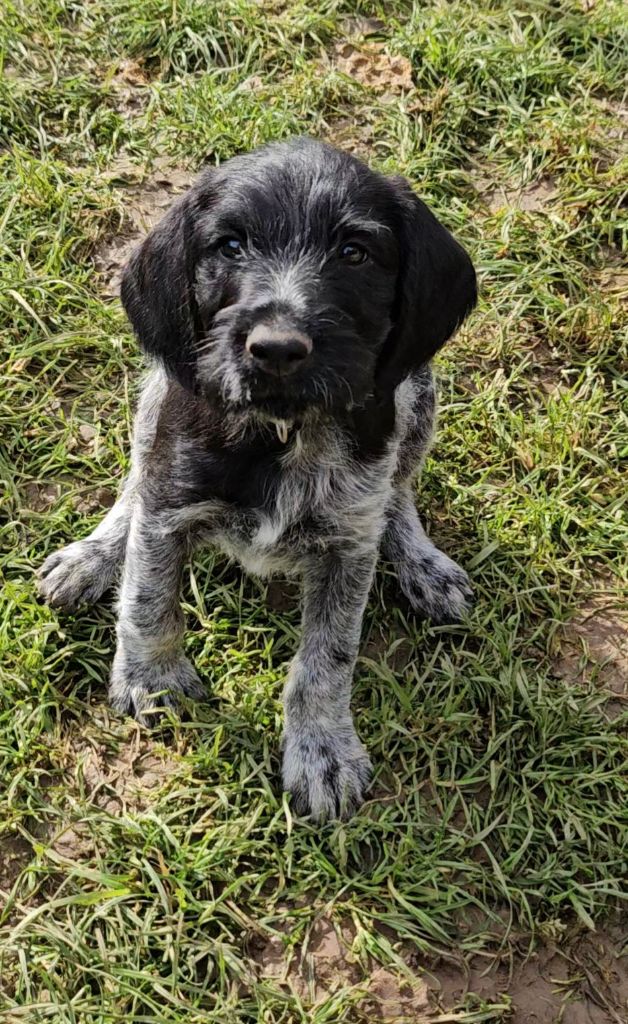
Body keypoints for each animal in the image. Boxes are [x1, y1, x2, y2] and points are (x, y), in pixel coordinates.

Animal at [38, 138, 477, 820]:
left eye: (354, 252)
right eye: (230, 246)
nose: (277, 348)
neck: (282, 431)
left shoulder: (348, 545)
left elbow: (328, 656)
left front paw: (322, 749)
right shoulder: (168, 507)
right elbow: (147, 597)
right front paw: (150, 677)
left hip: (416, 394)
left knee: (399, 492)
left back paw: (422, 562)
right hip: (158, 391)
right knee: (134, 479)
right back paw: (96, 553)